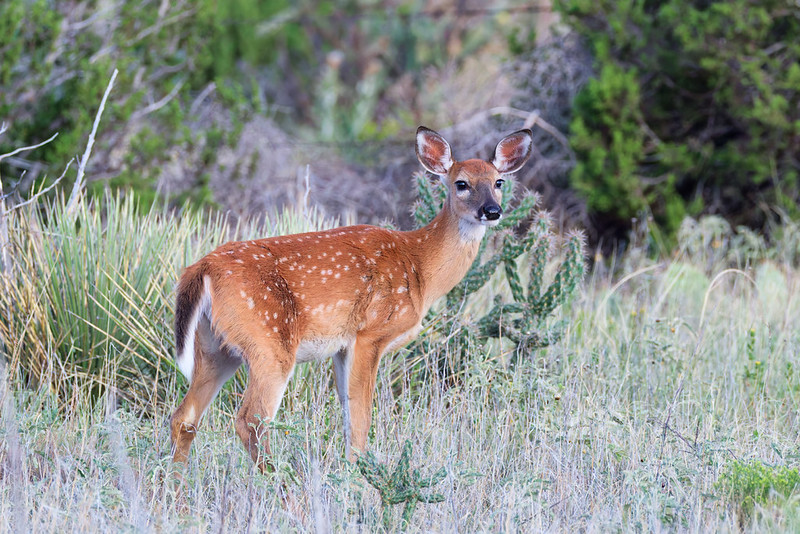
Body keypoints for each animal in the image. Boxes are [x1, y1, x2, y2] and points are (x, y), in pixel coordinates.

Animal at [170, 126, 533, 471]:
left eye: (498, 181)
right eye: (461, 183)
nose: (492, 211)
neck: (419, 267)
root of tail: (202, 268)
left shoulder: (342, 345)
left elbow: (347, 413)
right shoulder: (370, 333)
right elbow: (360, 419)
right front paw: (358, 476)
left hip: (215, 346)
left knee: (185, 417)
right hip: (270, 342)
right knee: (250, 421)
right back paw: (283, 484)